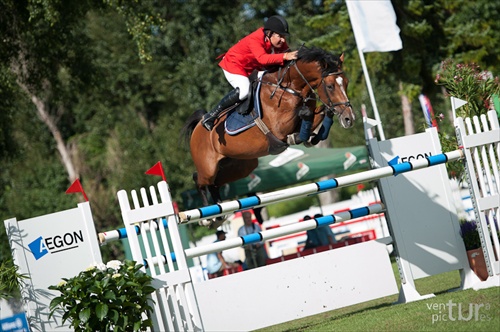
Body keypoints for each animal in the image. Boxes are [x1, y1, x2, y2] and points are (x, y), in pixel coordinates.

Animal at [182, 46, 354, 227]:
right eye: (330, 86)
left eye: (346, 83)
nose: (349, 119)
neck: (290, 88)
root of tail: (198, 126)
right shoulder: (280, 128)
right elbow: (307, 116)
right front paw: (301, 136)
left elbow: (320, 113)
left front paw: (312, 137)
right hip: (208, 167)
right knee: (199, 179)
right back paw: (207, 219)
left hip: (239, 166)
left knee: (215, 184)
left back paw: (219, 213)